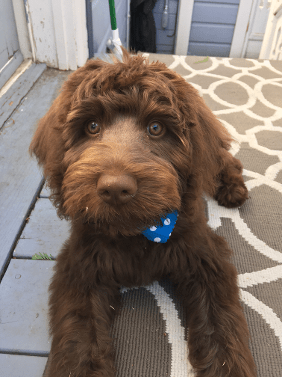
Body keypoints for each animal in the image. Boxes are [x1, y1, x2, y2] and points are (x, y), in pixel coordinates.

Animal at [30, 50, 256, 376]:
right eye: (92, 126)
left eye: (156, 128)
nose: (115, 188)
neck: (136, 231)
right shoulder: (80, 267)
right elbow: (78, 336)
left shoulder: (205, 259)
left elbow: (221, 327)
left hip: (213, 163)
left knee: (224, 160)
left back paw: (233, 188)